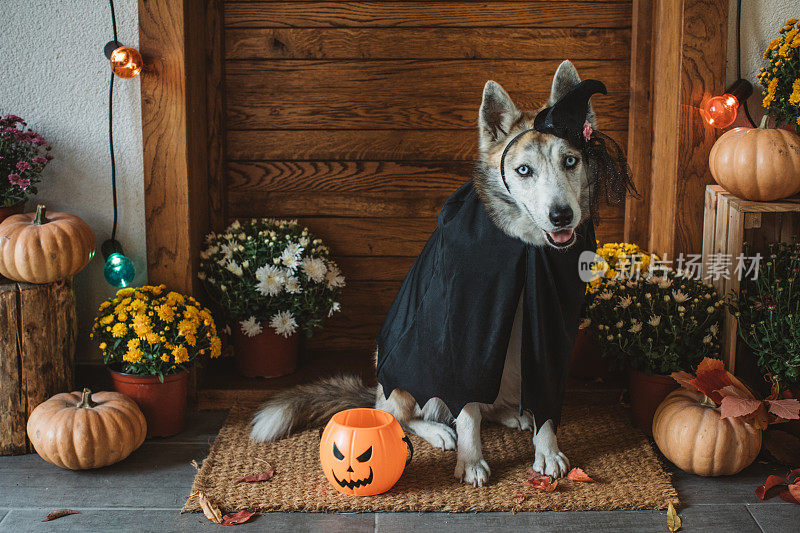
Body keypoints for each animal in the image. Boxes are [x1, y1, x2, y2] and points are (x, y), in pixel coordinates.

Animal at [253, 61, 596, 486]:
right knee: (401, 417)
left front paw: (546, 450)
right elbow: (466, 414)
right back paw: (437, 430)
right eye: (523, 170)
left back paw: (510, 414)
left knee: (487, 405)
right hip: (401, 376)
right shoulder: (463, 339)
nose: (562, 215)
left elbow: (543, 403)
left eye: (570, 161)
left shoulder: (550, 334)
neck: (522, 249)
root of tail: (376, 391)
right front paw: (470, 460)